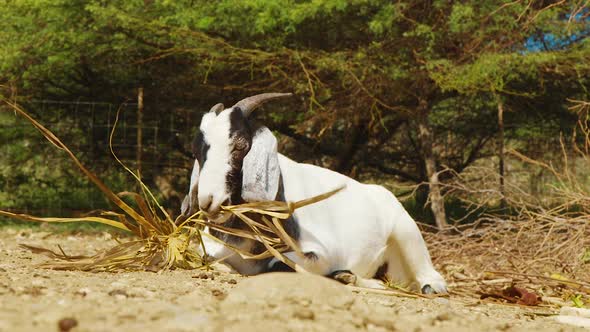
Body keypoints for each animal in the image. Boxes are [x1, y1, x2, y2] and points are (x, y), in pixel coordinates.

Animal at [180, 92, 448, 294]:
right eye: (196, 150)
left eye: (240, 145)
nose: (209, 201)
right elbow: (206, 257)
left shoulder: (320, 254)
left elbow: (278, 266)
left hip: (406, 232)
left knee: (428, 276)